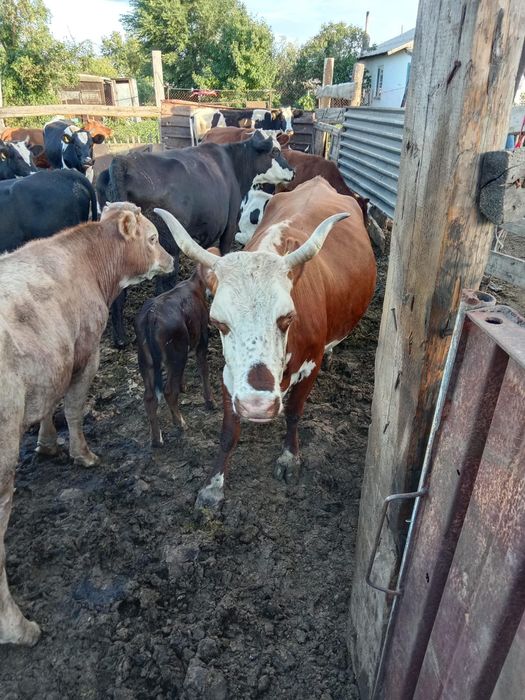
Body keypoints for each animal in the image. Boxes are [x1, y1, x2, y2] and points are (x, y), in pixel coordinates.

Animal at [0, 202, 174, 646]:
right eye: (152, 238)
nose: (170, 259)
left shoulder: (53, 364)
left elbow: (50, 405)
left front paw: (47, 444)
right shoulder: (87, 354)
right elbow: (75, 407)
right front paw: (83, 453)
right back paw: (19, 628)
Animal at [99, 130, 294, 348]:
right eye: (275, 151)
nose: (292, 172)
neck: (233, 164)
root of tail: (122, 161)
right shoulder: (228, 227)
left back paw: (120, 338)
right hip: (168, 246)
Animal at [135, 266, 215, 446]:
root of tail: (151, 315)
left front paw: (183, 386)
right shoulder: (202, 340)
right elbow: (204, 370)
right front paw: (210, 401)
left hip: (146, 361)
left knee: (149, 397)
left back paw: (156, 439)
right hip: (176, 354)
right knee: (169, 391)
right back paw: (180, 423)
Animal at [154, 176, 377, 509]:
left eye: (287, 317)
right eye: (218, 322)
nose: (257, 406)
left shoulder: (310, 366)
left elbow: (294, 413)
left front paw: (289, 458)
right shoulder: (231, 375)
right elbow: (228, 432)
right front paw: (213, 485)